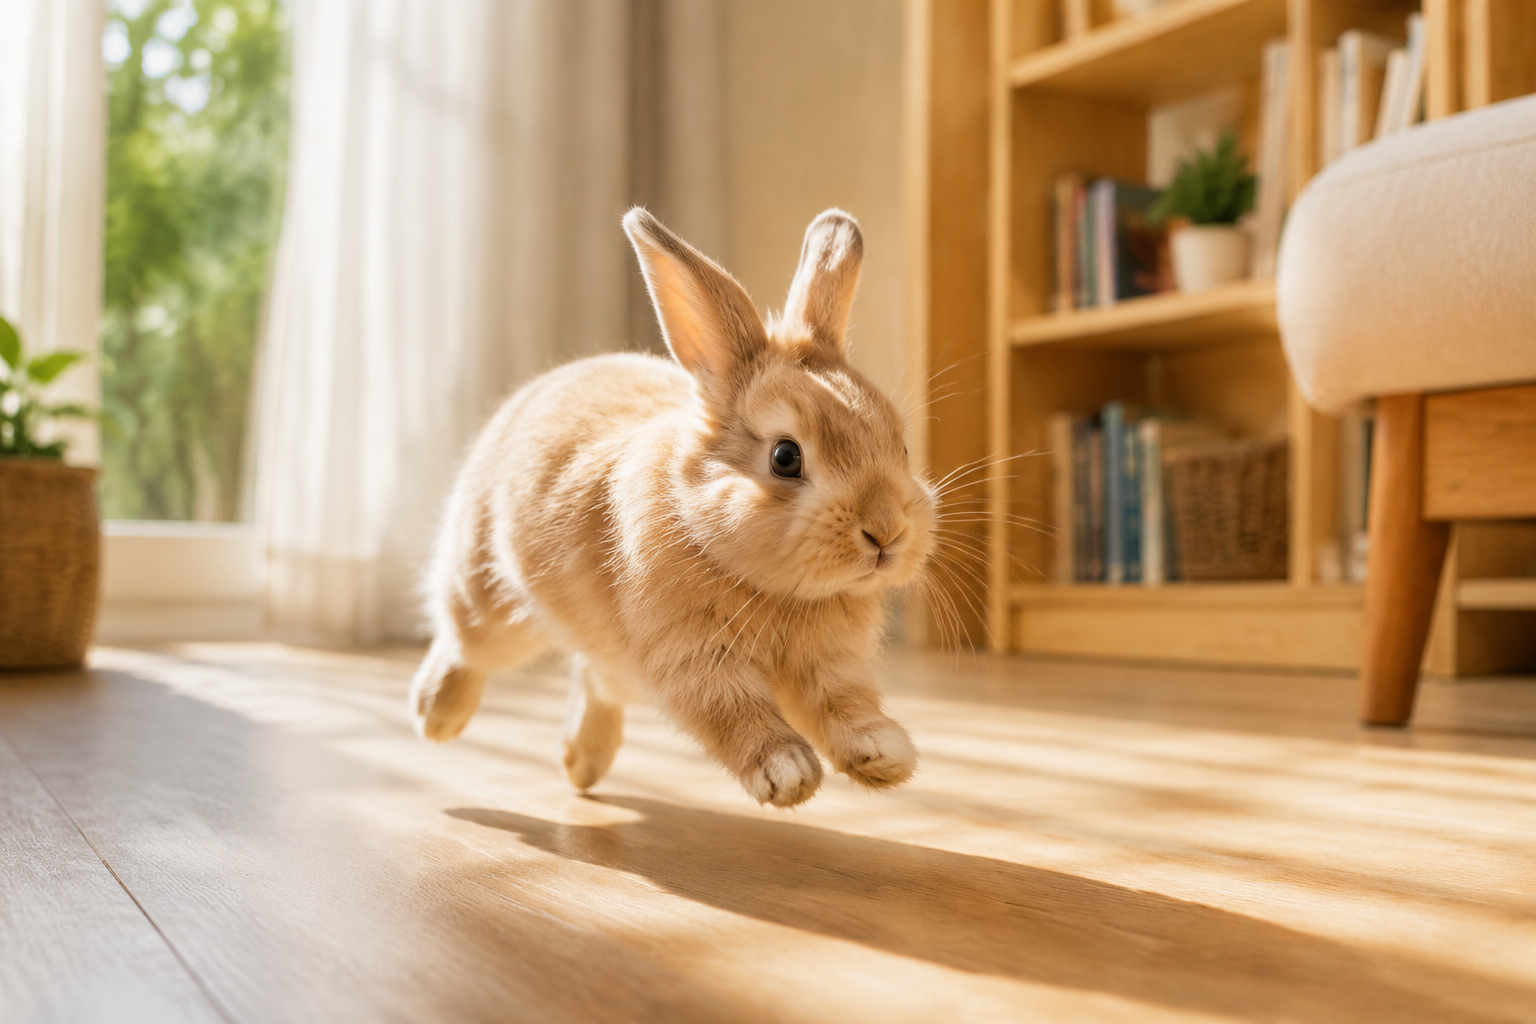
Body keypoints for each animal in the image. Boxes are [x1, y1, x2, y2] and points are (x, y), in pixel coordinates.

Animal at [409, 207, 935, 807]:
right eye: (785, 457)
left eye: (900, 446)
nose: (886, 531)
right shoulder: (692, 659)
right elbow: (734, 714)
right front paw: (788, 773)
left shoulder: (832, 664)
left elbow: (844, 704)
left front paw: (885, 756)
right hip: (491, 597)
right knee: (464, 642)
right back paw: (434, 718)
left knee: (593, 677)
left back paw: (583, 766)